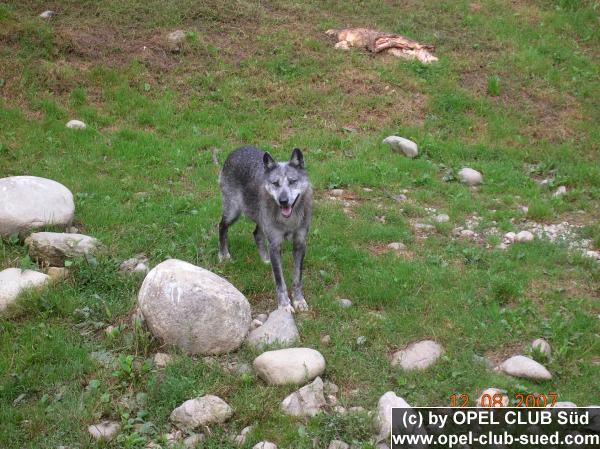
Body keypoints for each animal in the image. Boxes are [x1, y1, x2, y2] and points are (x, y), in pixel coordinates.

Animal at [217, 146, 312, 312]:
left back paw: (265, 259)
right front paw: (284, 304)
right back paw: (224, 255)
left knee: (256, 234)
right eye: (275, 183)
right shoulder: (275, 245)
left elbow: (297, 278)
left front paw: (299, 300)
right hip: (233, 212)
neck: (289, 221)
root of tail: (235, 151)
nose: (283, 201)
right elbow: (280, 281)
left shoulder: (300, 244)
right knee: (221, 227)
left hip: (260, 221)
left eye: (292, 181)